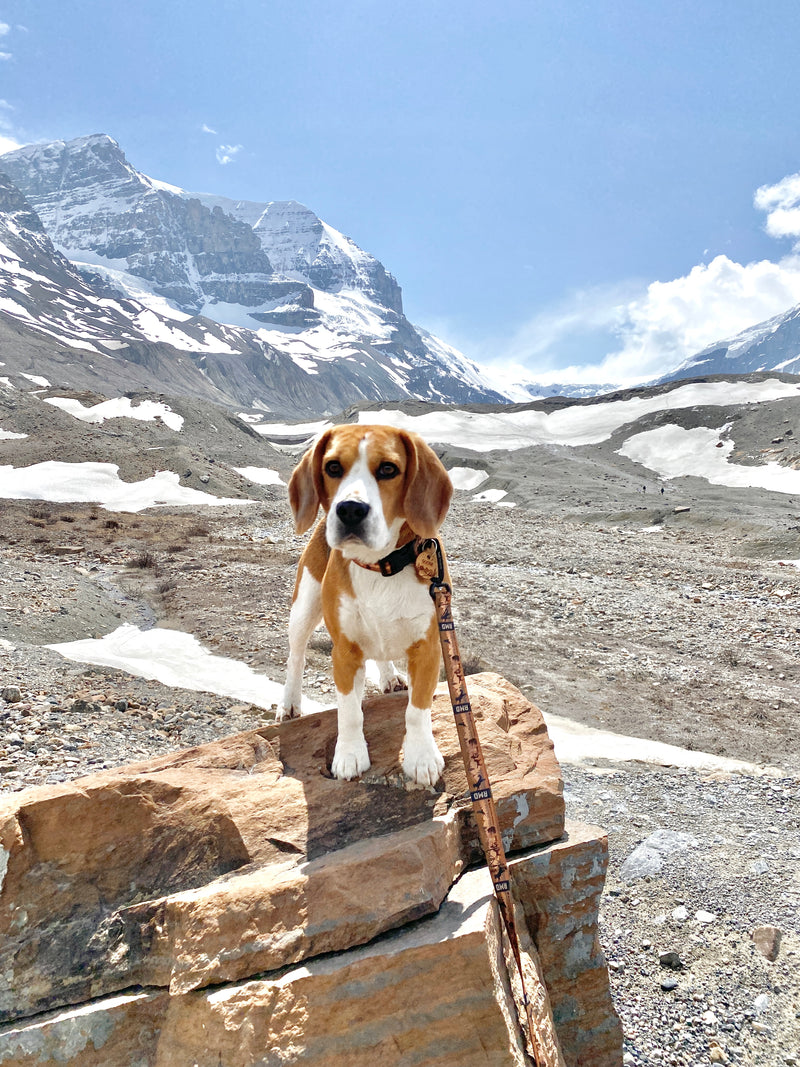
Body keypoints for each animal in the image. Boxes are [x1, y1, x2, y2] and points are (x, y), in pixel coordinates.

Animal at [279, 422, 454, 785]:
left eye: (388, 469)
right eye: (333, 467)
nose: (349, 509)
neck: (380, 565)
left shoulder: (428, 649)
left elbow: (417, 710)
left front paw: (421, 756)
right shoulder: (344, 652)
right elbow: (348, 712)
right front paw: (349, 755)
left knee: (381, 654)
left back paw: (389, 677)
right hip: (303, 608)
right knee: (296, 657)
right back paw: (289, 703)